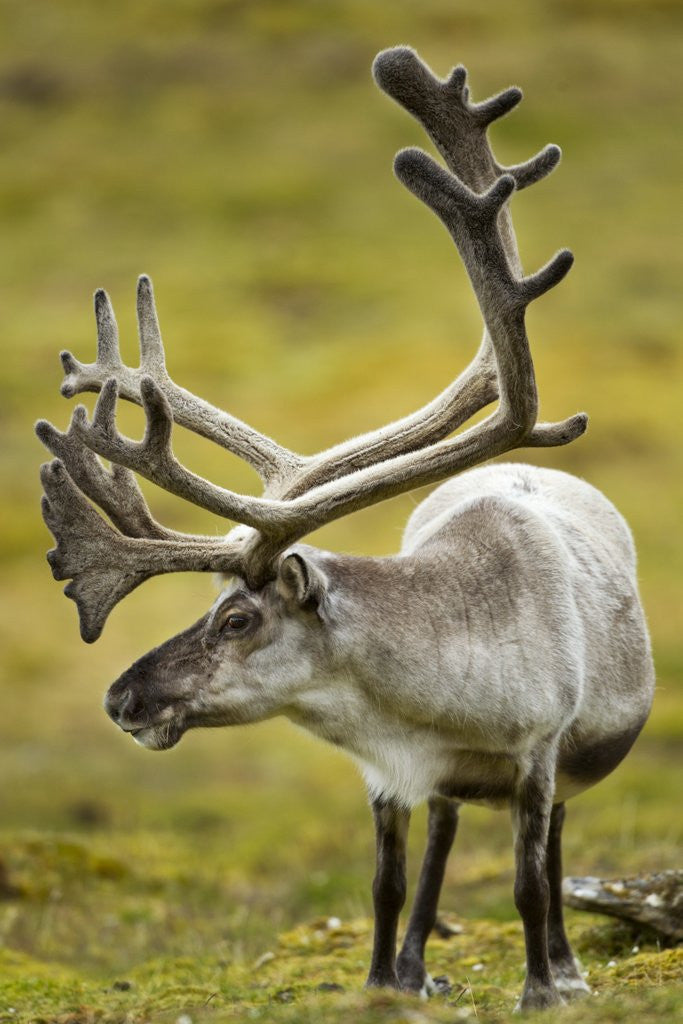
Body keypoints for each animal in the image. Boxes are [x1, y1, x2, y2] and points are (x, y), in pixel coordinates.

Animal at [36, 46, 654, 1012]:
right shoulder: (386, 774)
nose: (119, 699)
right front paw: (379, 985)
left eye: (238, 618)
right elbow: (387, 880)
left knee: (549, 852)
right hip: (447, 793)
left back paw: (561, 965)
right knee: (440, 840)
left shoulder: (539, 750)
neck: (431, 694)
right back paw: (416, 966)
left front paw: (540, 989)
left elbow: (526, 876)